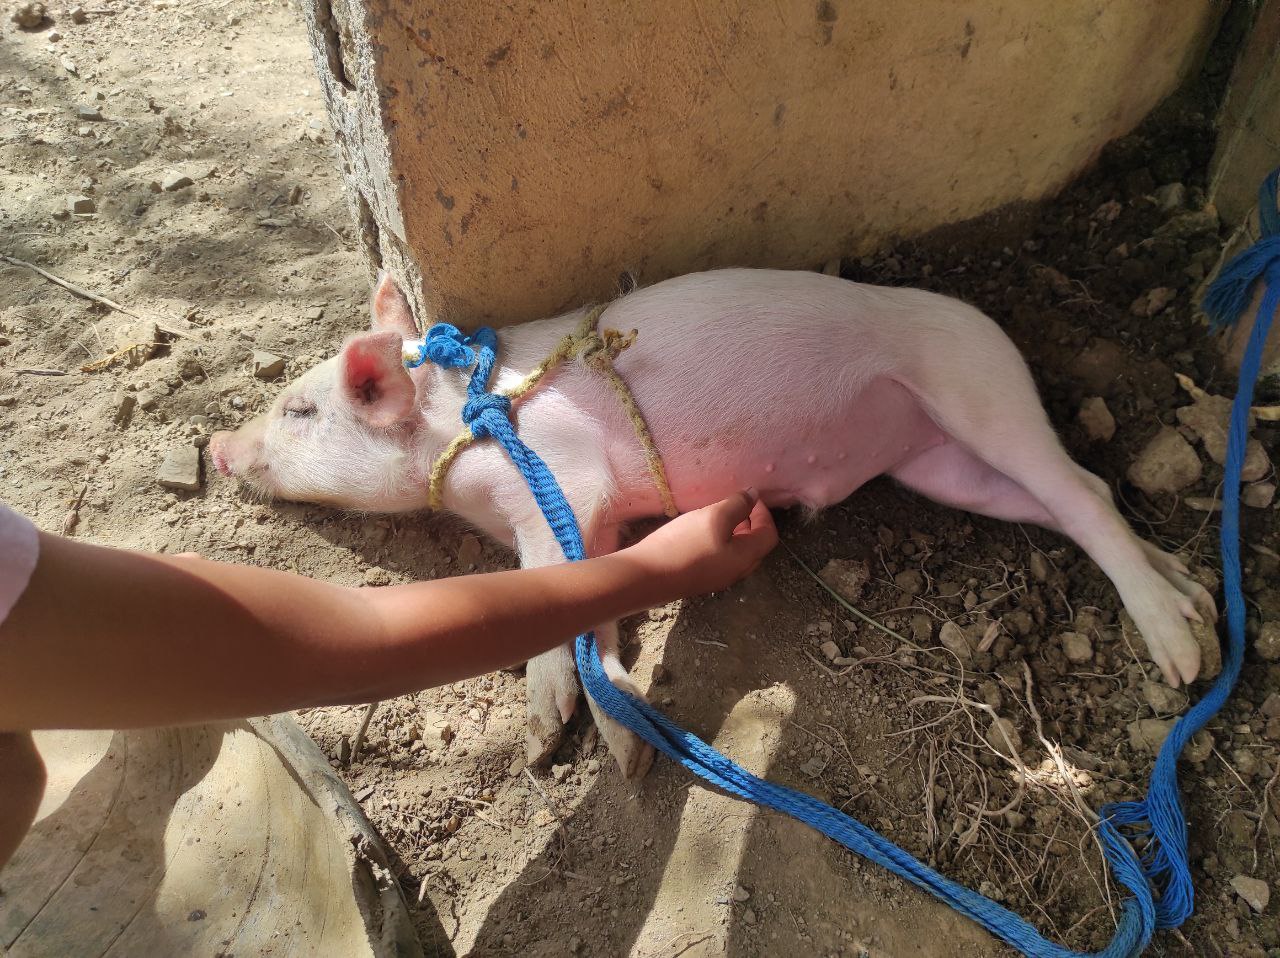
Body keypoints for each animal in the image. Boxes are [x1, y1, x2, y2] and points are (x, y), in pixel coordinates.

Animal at [209, 267, 1208, 778]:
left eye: (301, 410)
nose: (217, 443)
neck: (466, 431)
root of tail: (990, 332)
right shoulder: (587, 520)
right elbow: (581, 599)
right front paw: (591, 744)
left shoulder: (564, 481)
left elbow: (555, 588)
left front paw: (589, 750)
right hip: (942, 466)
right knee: (1082, 492)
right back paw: (1194, 594)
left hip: (976, 389)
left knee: (1082, 491)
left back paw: (1183, 658)